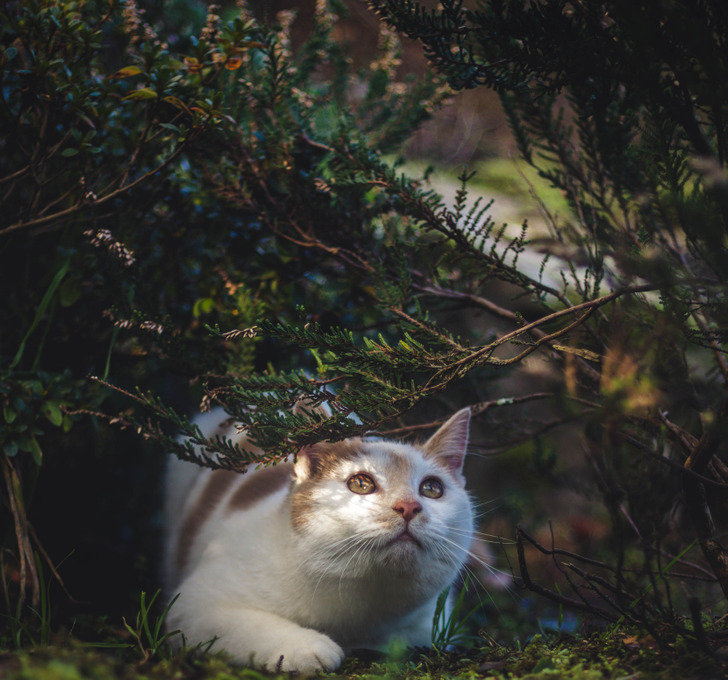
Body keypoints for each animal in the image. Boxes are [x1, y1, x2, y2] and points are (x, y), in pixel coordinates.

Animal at [162, 406, 474, 672]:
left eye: (432, 489)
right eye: (361, 483)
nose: (409, 506)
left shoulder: (429, 626)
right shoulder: (192, 605)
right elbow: (243, 624)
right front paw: (304, 647)